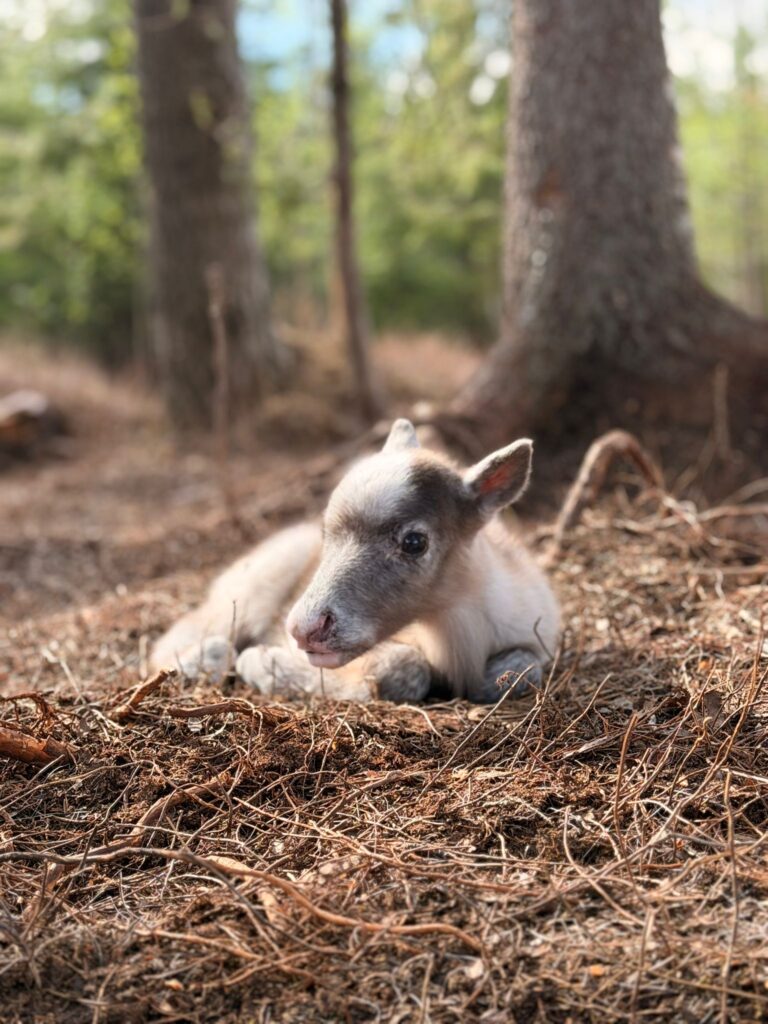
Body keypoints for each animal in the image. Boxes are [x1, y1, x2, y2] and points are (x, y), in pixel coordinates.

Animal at [151, 420, 560, 703]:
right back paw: (204, 661)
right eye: (326, 528)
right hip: (244, 597)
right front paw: (262, 664)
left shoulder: (536, 640)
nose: (302, 629)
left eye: (414, 542)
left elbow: (520, 672)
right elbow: (403, 669)